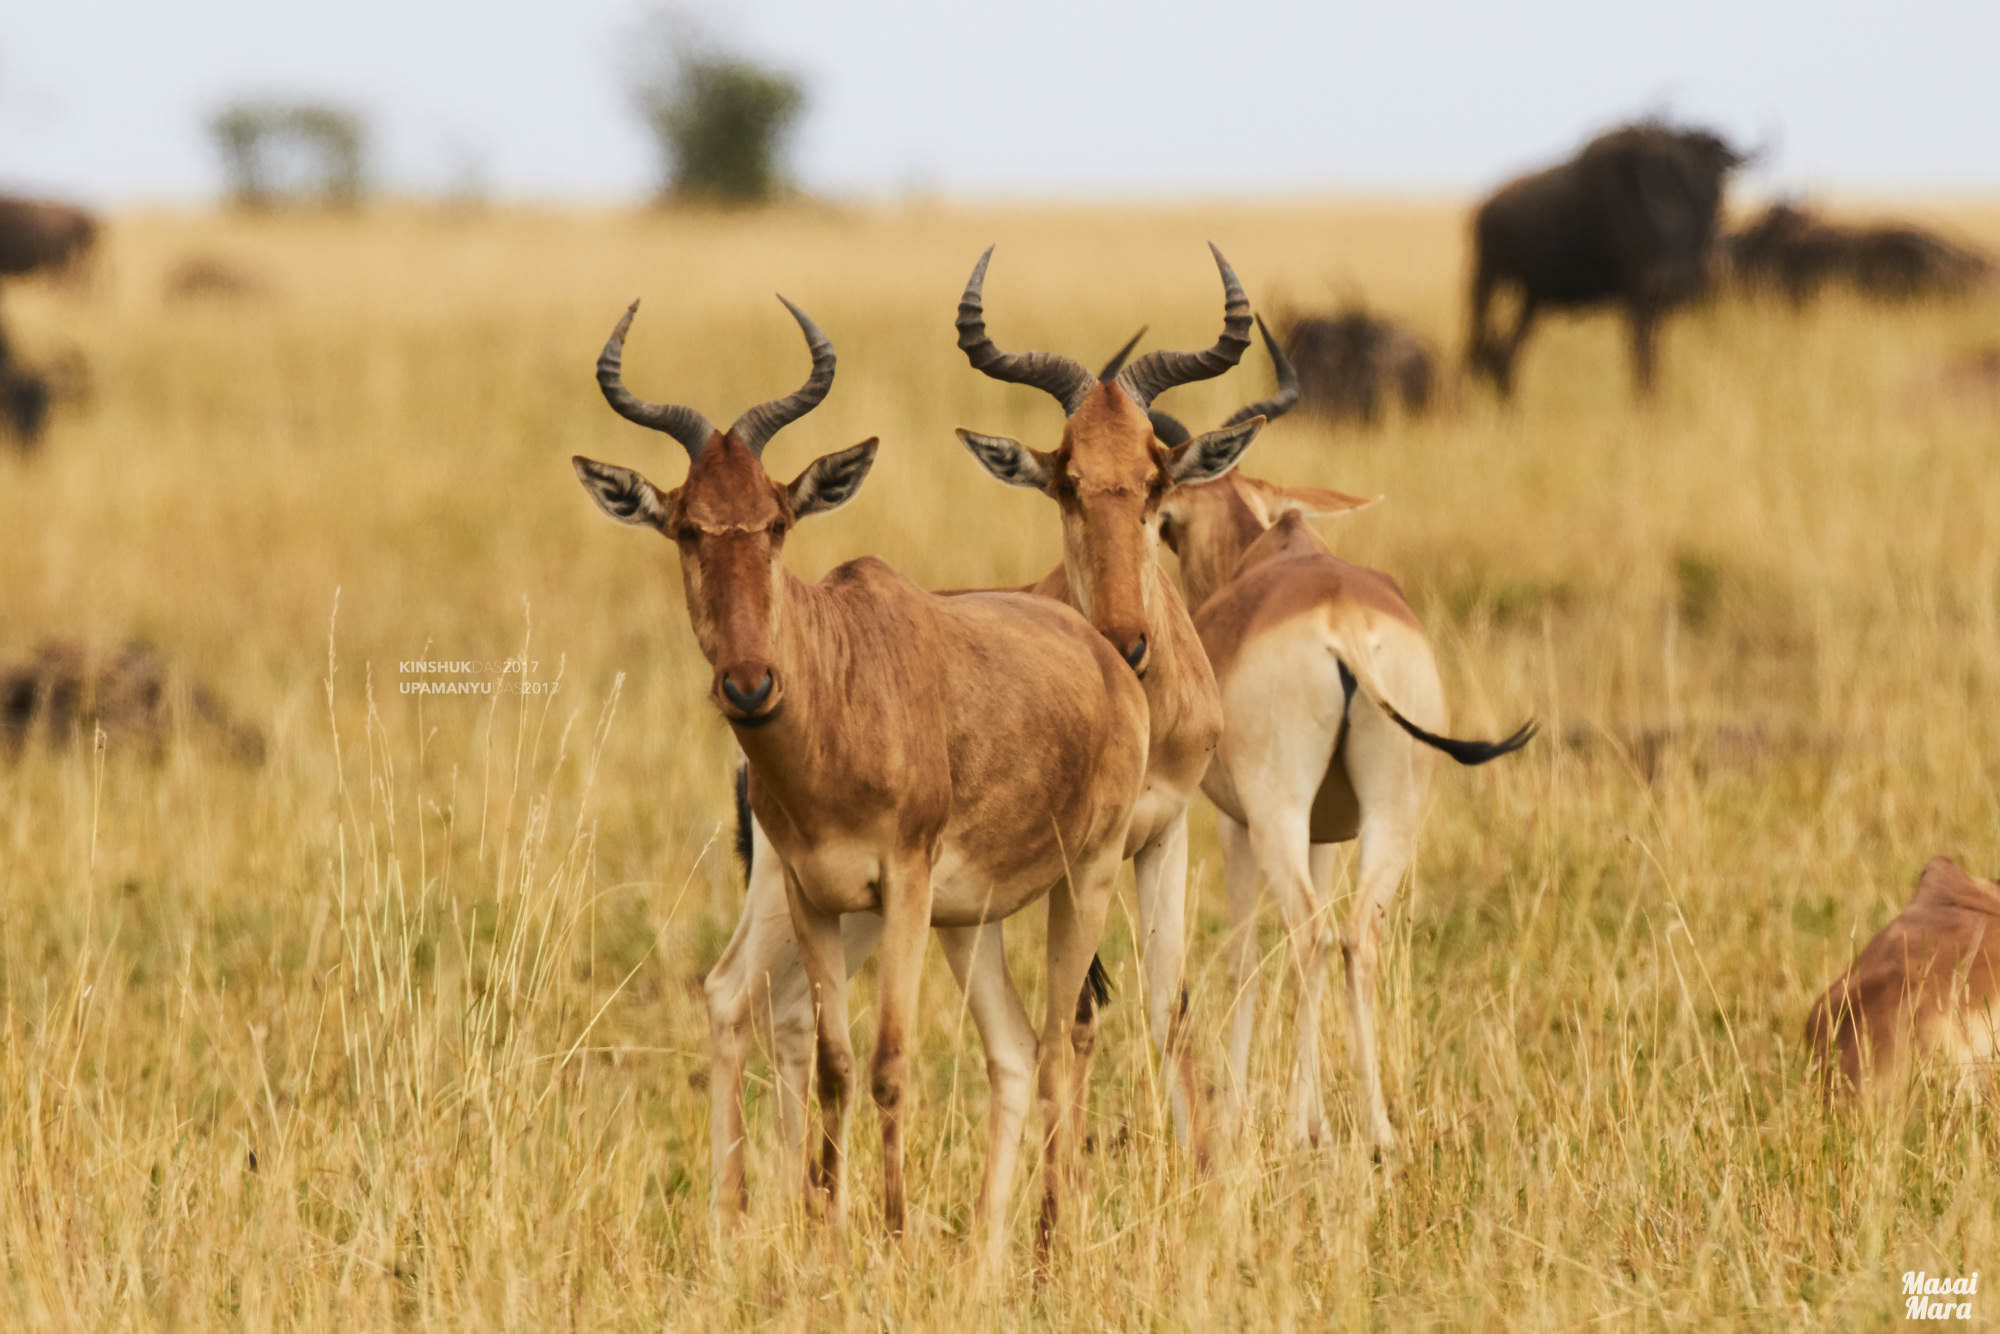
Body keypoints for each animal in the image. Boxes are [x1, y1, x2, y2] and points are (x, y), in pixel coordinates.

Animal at [572, 294, 1152, 1272]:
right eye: (688, 526)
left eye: (776, 521)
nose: (749, 686)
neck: (844, 677)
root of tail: (1105, 651)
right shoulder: (818, 894)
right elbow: (836, 1063)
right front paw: (831, 1235)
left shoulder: (905, 884)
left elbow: (888, 1062)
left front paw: (891, 1229)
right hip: (965, 919)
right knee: (1009, 1045)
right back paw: (984, 1249)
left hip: (1086, 876)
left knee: (1060, 1037)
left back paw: (1046, 1243)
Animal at [1136, 326, 1536, 1160]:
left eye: (1169, 523)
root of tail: (1342, 622)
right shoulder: (1326, 831)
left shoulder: (1236, 824)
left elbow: (1244, 956)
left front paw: (1248, 1114)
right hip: (1393, 813)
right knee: (1356, 935)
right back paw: (1379, 1130)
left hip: (1276, 814)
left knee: (1308, 934)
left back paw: (1297, 1130)